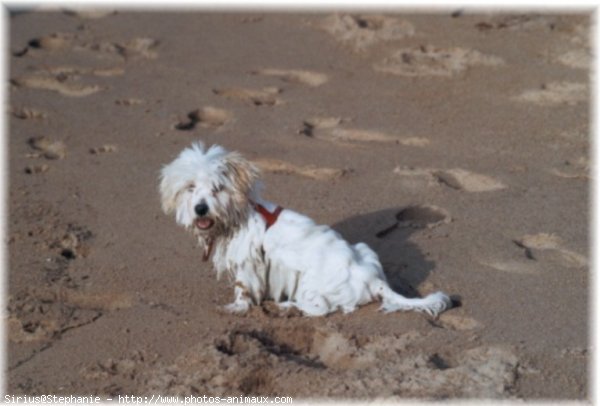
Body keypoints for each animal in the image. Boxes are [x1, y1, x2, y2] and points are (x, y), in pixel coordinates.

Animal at [159, 143, 450, 318]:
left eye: (218, 188)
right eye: (190, 187)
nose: (200, 209)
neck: (237, 215)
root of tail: (374, 280)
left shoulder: (248, 263)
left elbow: (244, 288)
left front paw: (237, 307)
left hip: (312, 285)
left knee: (320, 309)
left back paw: (287, 306)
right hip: (364, 250)